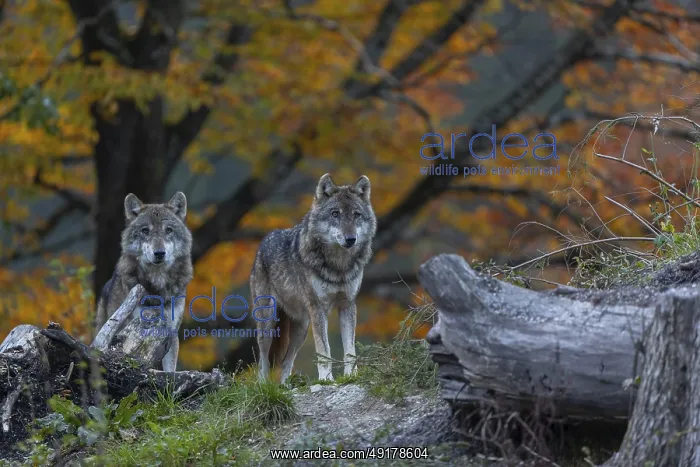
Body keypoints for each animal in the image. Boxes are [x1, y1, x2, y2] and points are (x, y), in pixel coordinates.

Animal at [93, 192, 193, 372]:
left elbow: (170, 371)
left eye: (169, 230)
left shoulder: (171, 334)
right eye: (145, 230)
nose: (159, 253)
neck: (157, 284)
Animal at [251, 173, 377, 384]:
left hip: (301, 328)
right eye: (335, 214)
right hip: (268, 324)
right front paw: (326, 379)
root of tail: (262, 244)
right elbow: (324, 350)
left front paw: (352, 376)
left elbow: (349, 350)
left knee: (286, 362)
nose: (351, 239)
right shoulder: (318, 308)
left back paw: (284, 386)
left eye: (357, 214)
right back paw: (263, 386)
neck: (338, 267)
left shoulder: (348, 305)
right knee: (263, 361)